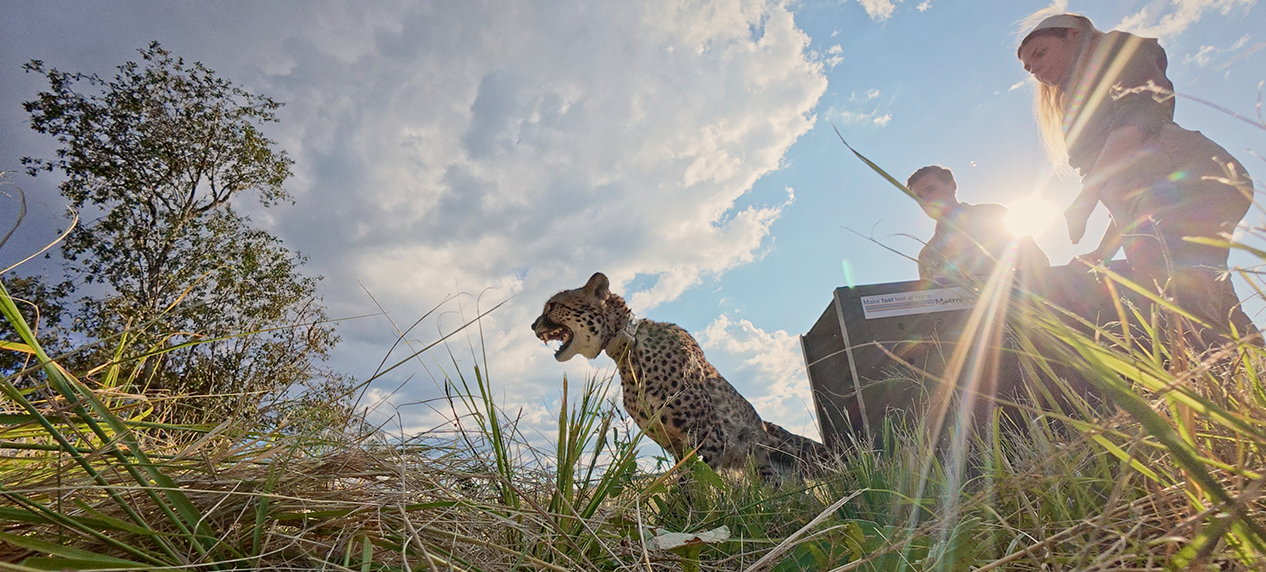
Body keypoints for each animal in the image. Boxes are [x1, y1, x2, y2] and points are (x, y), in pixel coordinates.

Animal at [531, 272, 828, 482]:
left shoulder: (707, 440)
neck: (628, 350)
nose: (533, 325)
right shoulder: (676, 447)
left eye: (553, 306)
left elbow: (693, 488)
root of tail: (766, 427)